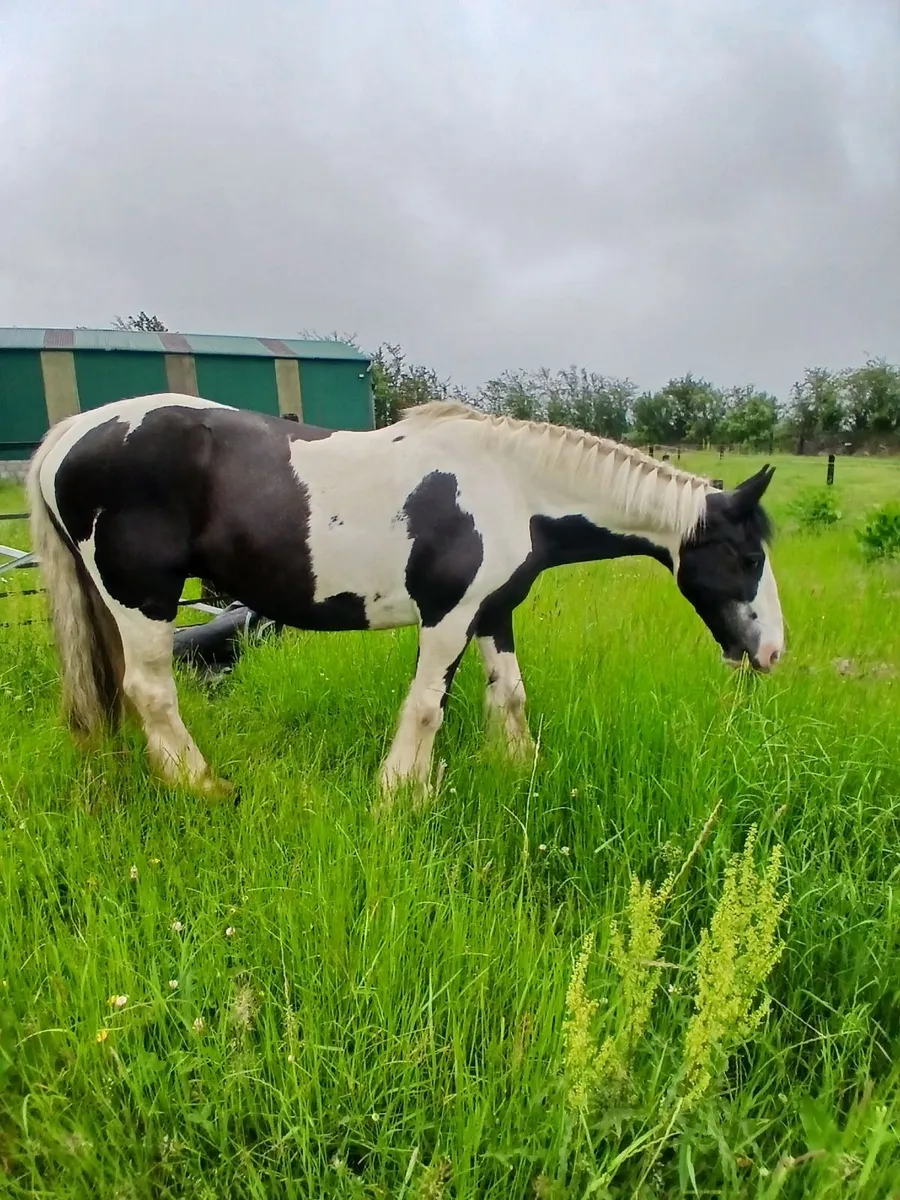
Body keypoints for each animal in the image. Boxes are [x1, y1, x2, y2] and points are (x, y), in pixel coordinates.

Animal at [26, 394, 784, 804]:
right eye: (748, 558)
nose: (772, 652)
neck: (514, 486)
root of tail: (67, 434)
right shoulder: (448, 616)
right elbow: (426, 706)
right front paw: (400, 794)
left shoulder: (493, 611)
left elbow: (509, 695)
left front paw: (518, 770)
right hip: (144, 599)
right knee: (150, 692)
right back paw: (204, 786)